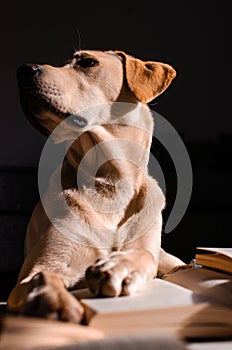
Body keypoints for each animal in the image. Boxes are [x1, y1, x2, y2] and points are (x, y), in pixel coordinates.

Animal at [7, 50, 185, 322]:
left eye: (87, 62)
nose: (22, 70)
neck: (111, 184)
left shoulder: (146, 246)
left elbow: (143, 254)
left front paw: (119, 267)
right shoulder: (41, 266)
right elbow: (42, 275)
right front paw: (56, 301)